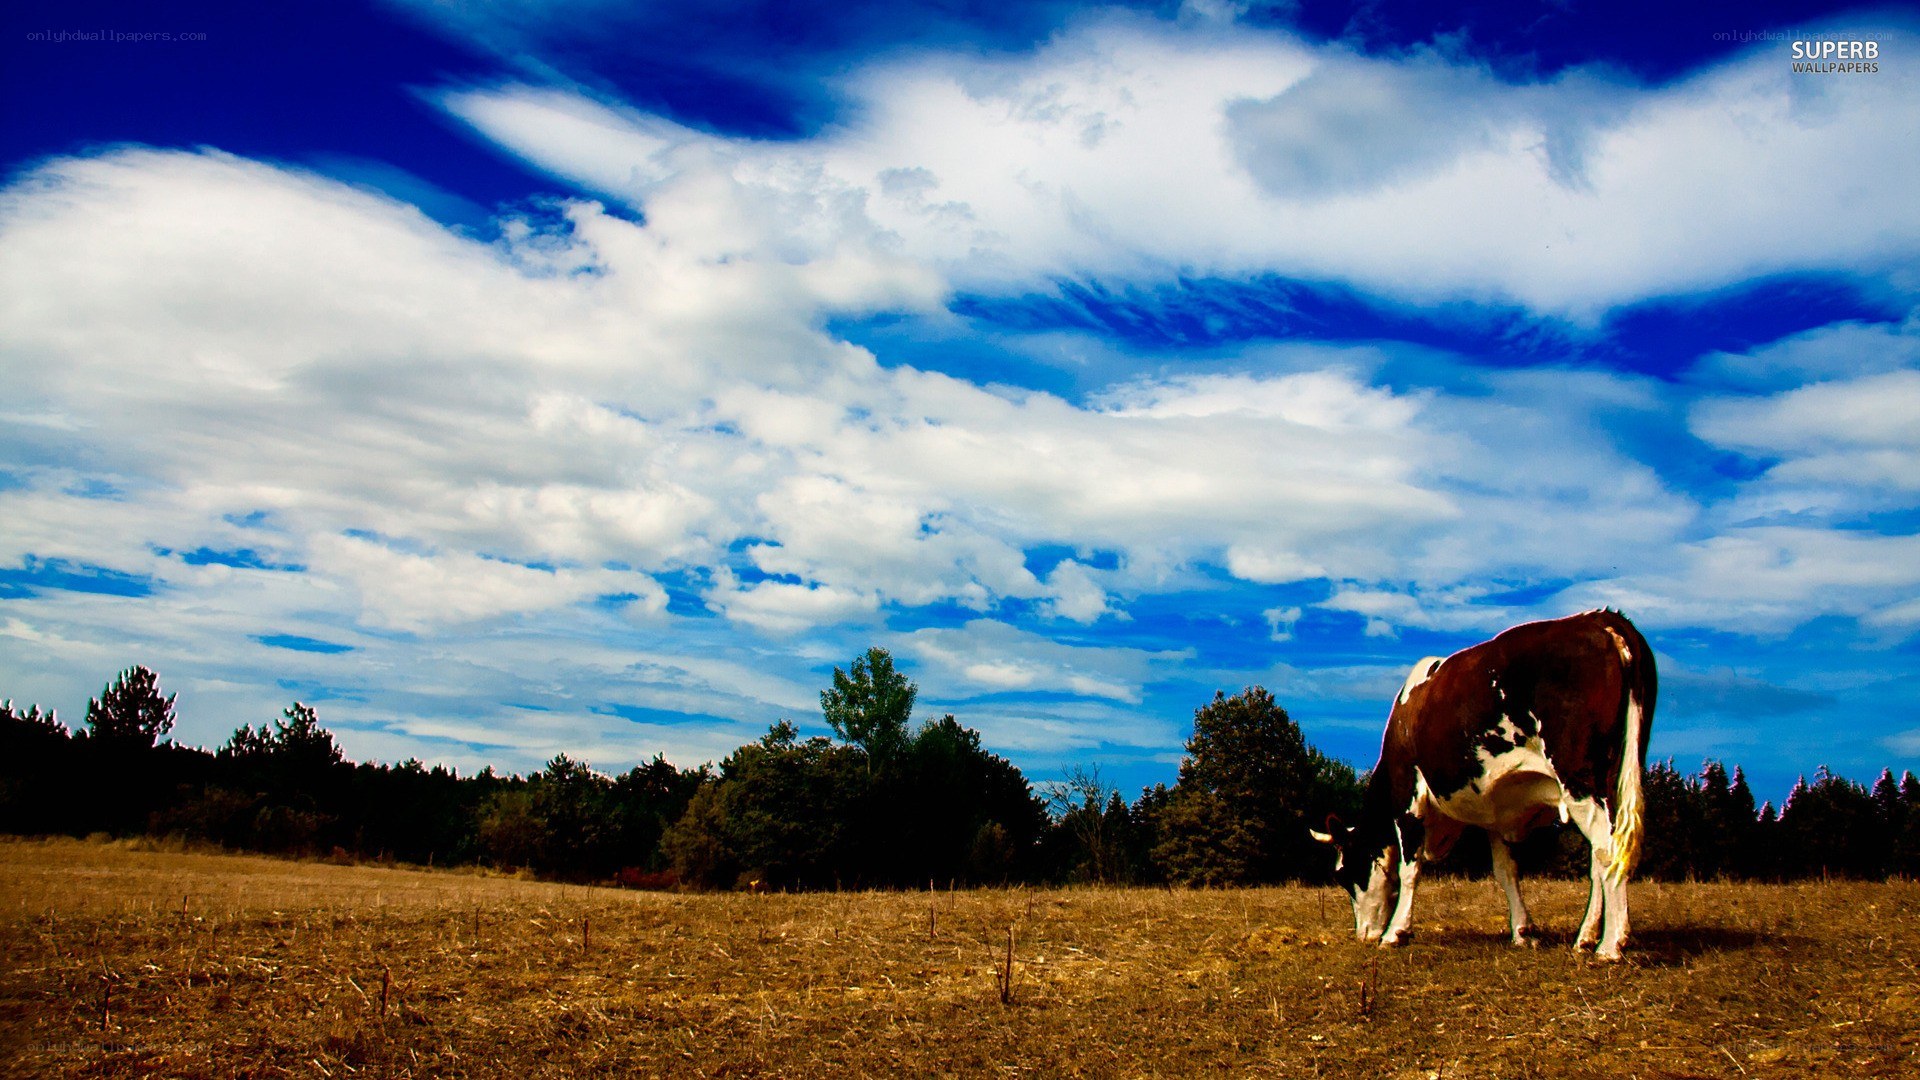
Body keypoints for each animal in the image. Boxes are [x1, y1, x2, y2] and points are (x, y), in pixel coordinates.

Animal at [1311, 609, 1656, 960]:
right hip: (1615, 777)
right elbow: (1506, 872)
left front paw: (1396, 932)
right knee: (1601, 857)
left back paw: (1610, 944)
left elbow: (1409, 870)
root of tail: (1599, 619)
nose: (1363, 935)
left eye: (1343, 874)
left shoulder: (1408, 798)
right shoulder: (1499, 813)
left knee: (1608, 850)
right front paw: (1523, 932)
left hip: (1579, 778)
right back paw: (1585, 937)